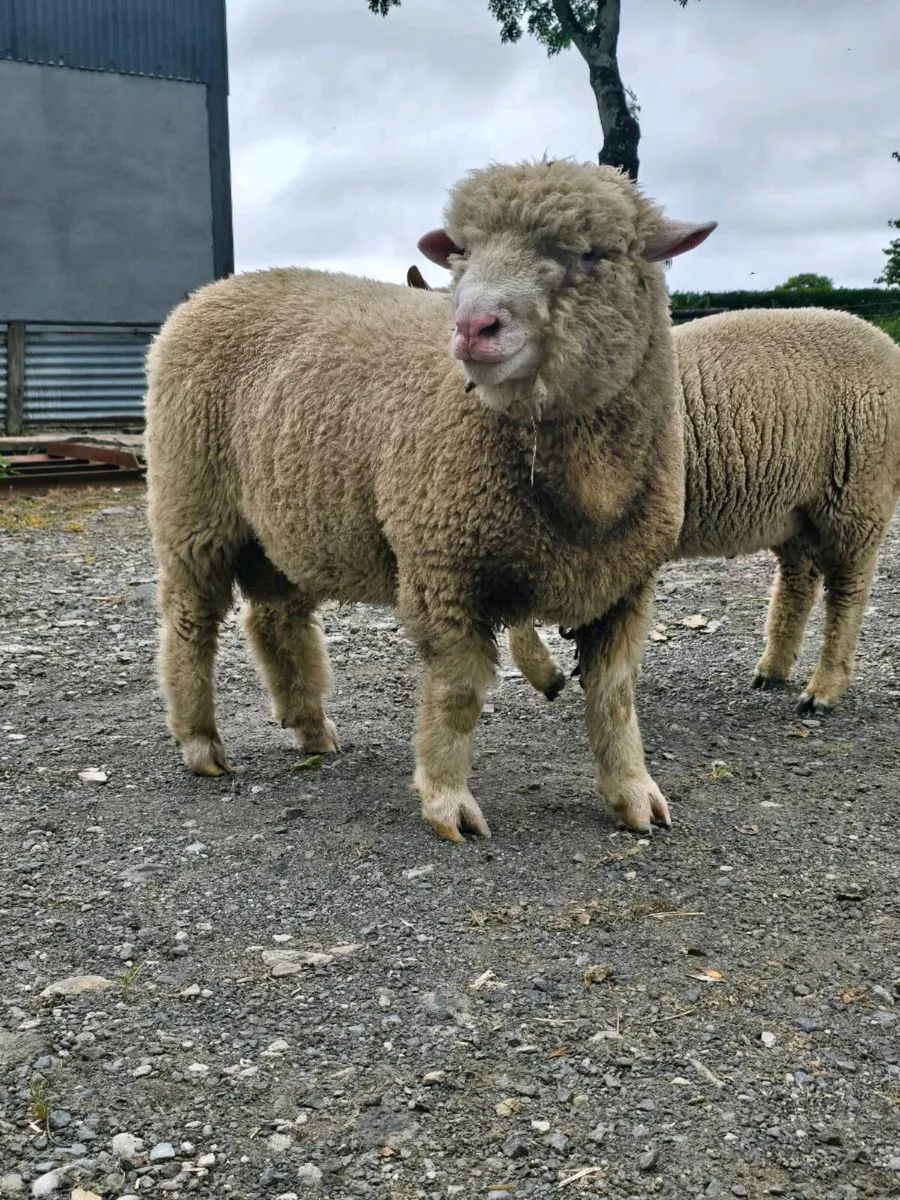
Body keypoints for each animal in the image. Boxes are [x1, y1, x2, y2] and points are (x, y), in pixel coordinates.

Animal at [145, 158, 716, 841]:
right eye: (462, 254)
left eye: (589, 254)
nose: (472, 327)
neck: (584, 496)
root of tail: (210, 292)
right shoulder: (443, 567)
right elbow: (456, 694)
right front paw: (447, 802)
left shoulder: (626, 584)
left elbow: (616, 697)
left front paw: (634, 792)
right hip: (194, 505)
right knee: (190, 622)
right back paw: (200, 741)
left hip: (284, 519)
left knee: (276, 617)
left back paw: (310, 727)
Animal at [493, 308, 900, 714]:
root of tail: (886, 344)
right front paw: (558, 673)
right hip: (797, 511)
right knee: (798, 582)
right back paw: (772, 670)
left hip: (857, 497)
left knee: (847, 593)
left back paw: (823, 690)